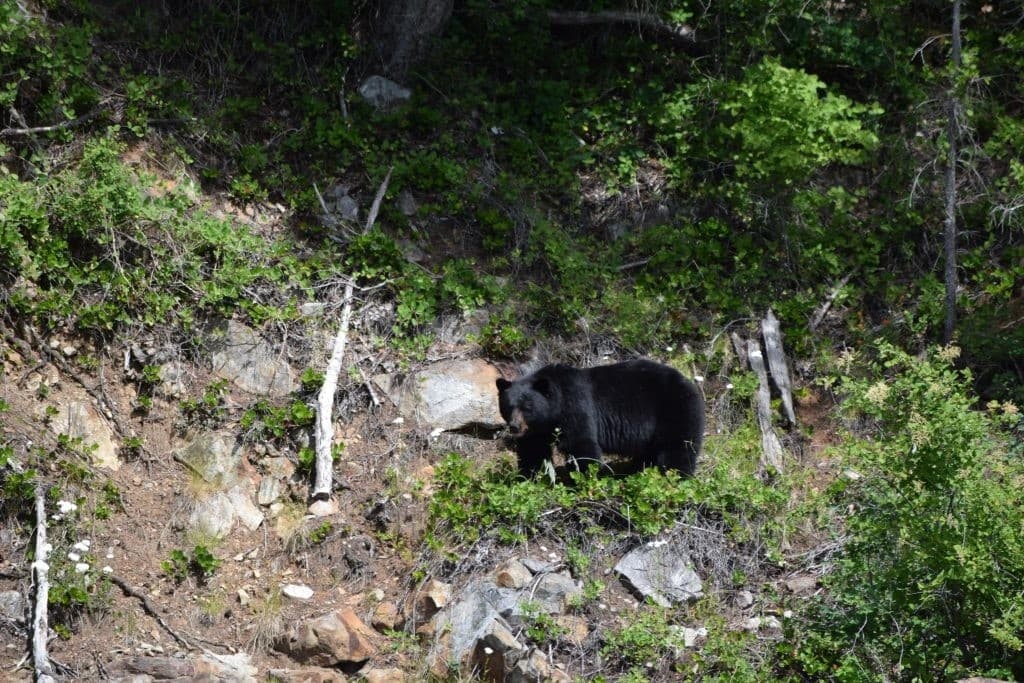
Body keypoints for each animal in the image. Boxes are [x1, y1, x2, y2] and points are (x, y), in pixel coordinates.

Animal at [495, 359, 704, 477]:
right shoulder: (538, 429)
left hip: (675, 410)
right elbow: (534, 449)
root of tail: (690, 384)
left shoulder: (575, 405)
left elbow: (580, 443)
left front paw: (585, 477)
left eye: (528, 407)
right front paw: (530, 476)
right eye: (508, 406)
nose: (515, 427)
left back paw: (675, 478)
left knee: (677, 448)